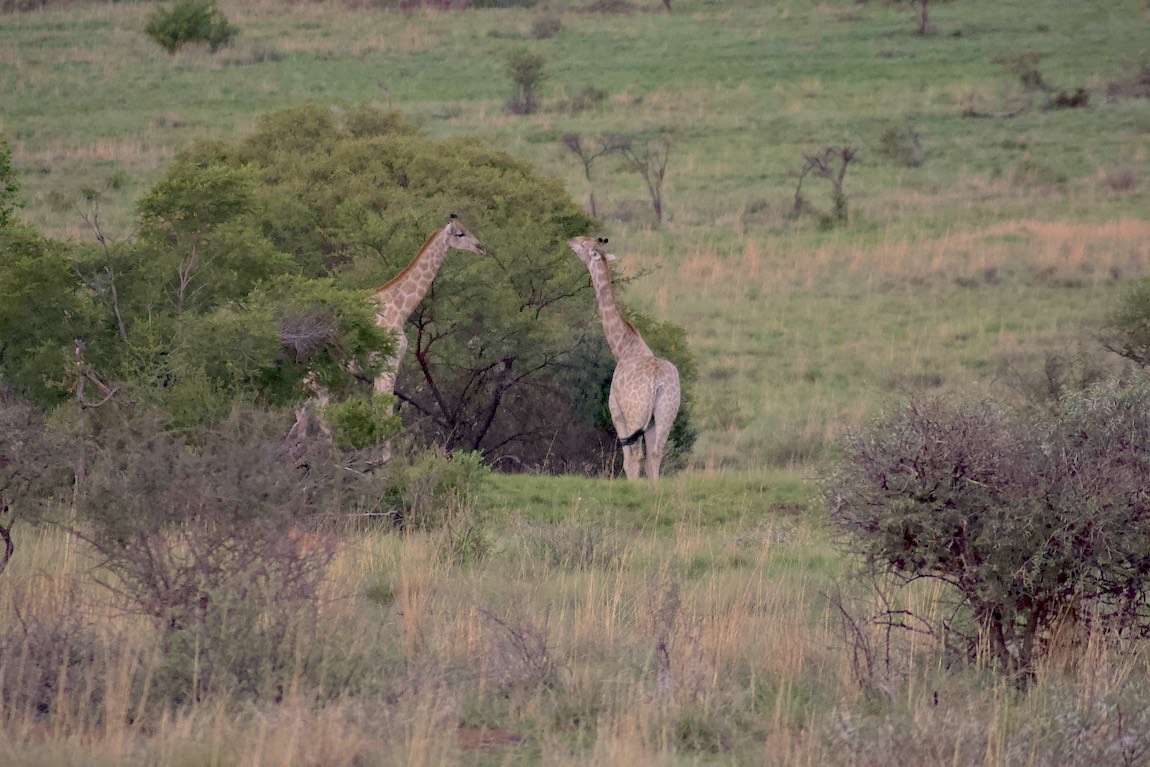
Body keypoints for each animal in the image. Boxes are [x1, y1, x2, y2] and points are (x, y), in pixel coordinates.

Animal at [568, 236, 681, 481]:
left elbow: (628, 460)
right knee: (655, 454)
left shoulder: (616, 411)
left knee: (637, 456)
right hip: (666, 413)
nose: (570, 241)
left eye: (583, 245)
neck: (623, 347)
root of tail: (655, 380)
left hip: (635, 414)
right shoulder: (651, 421)